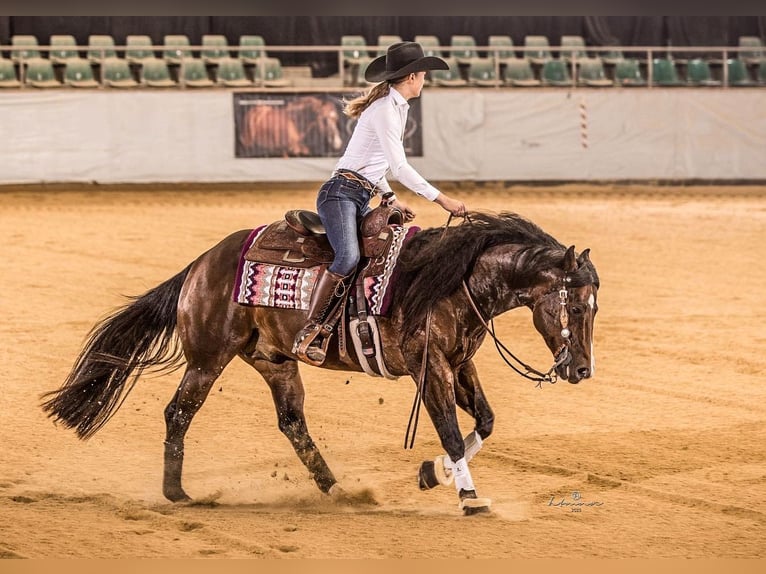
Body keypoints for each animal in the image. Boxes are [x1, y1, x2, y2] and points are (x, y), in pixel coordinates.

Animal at [40, 213, 600, 516]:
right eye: (576, 307)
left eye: (595, 307)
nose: (582, 371)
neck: (449, 280)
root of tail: (201, 264)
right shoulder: (431, 369)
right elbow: (448, 429)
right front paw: (468, 497)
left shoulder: (460, 364)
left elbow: (483, 421)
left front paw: (430, 473)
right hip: (207, 357)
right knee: (179, 412)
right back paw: (177, 492)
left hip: (275, 362)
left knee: (292, 422)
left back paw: (338, 489)